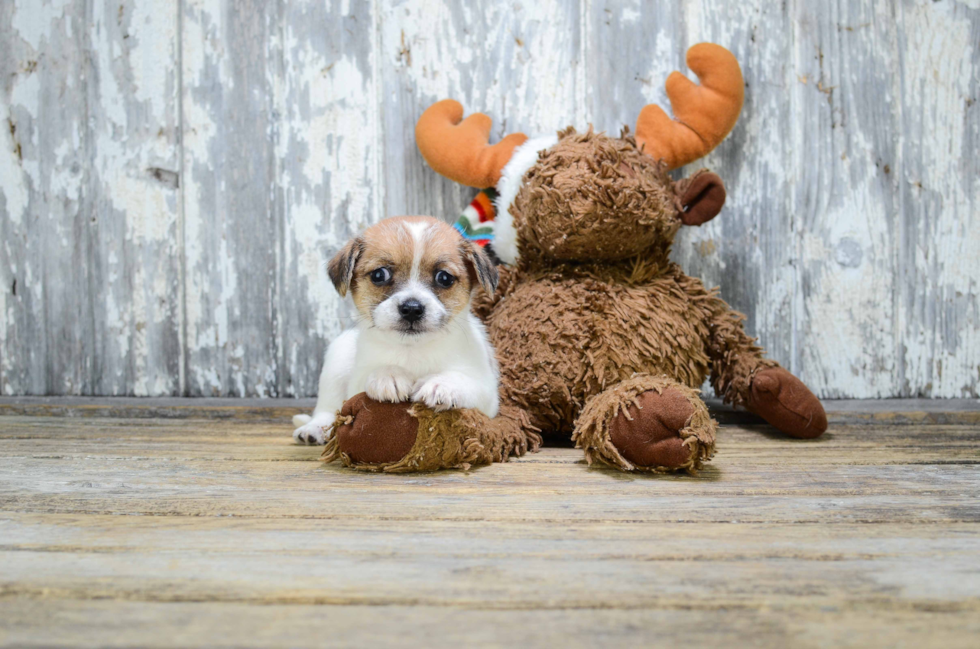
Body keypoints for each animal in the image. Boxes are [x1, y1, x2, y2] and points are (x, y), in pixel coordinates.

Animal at [290, 215, 498, 442]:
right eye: (379, 275)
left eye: (444, 278)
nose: (412, 309)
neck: (412, 350)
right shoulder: (356, 384)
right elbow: (372, 376)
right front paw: (388, 375)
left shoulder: (488, 396)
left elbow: (465, 381)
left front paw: (442, 383)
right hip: (336, 362)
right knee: (327, 408)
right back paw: (314, 429)